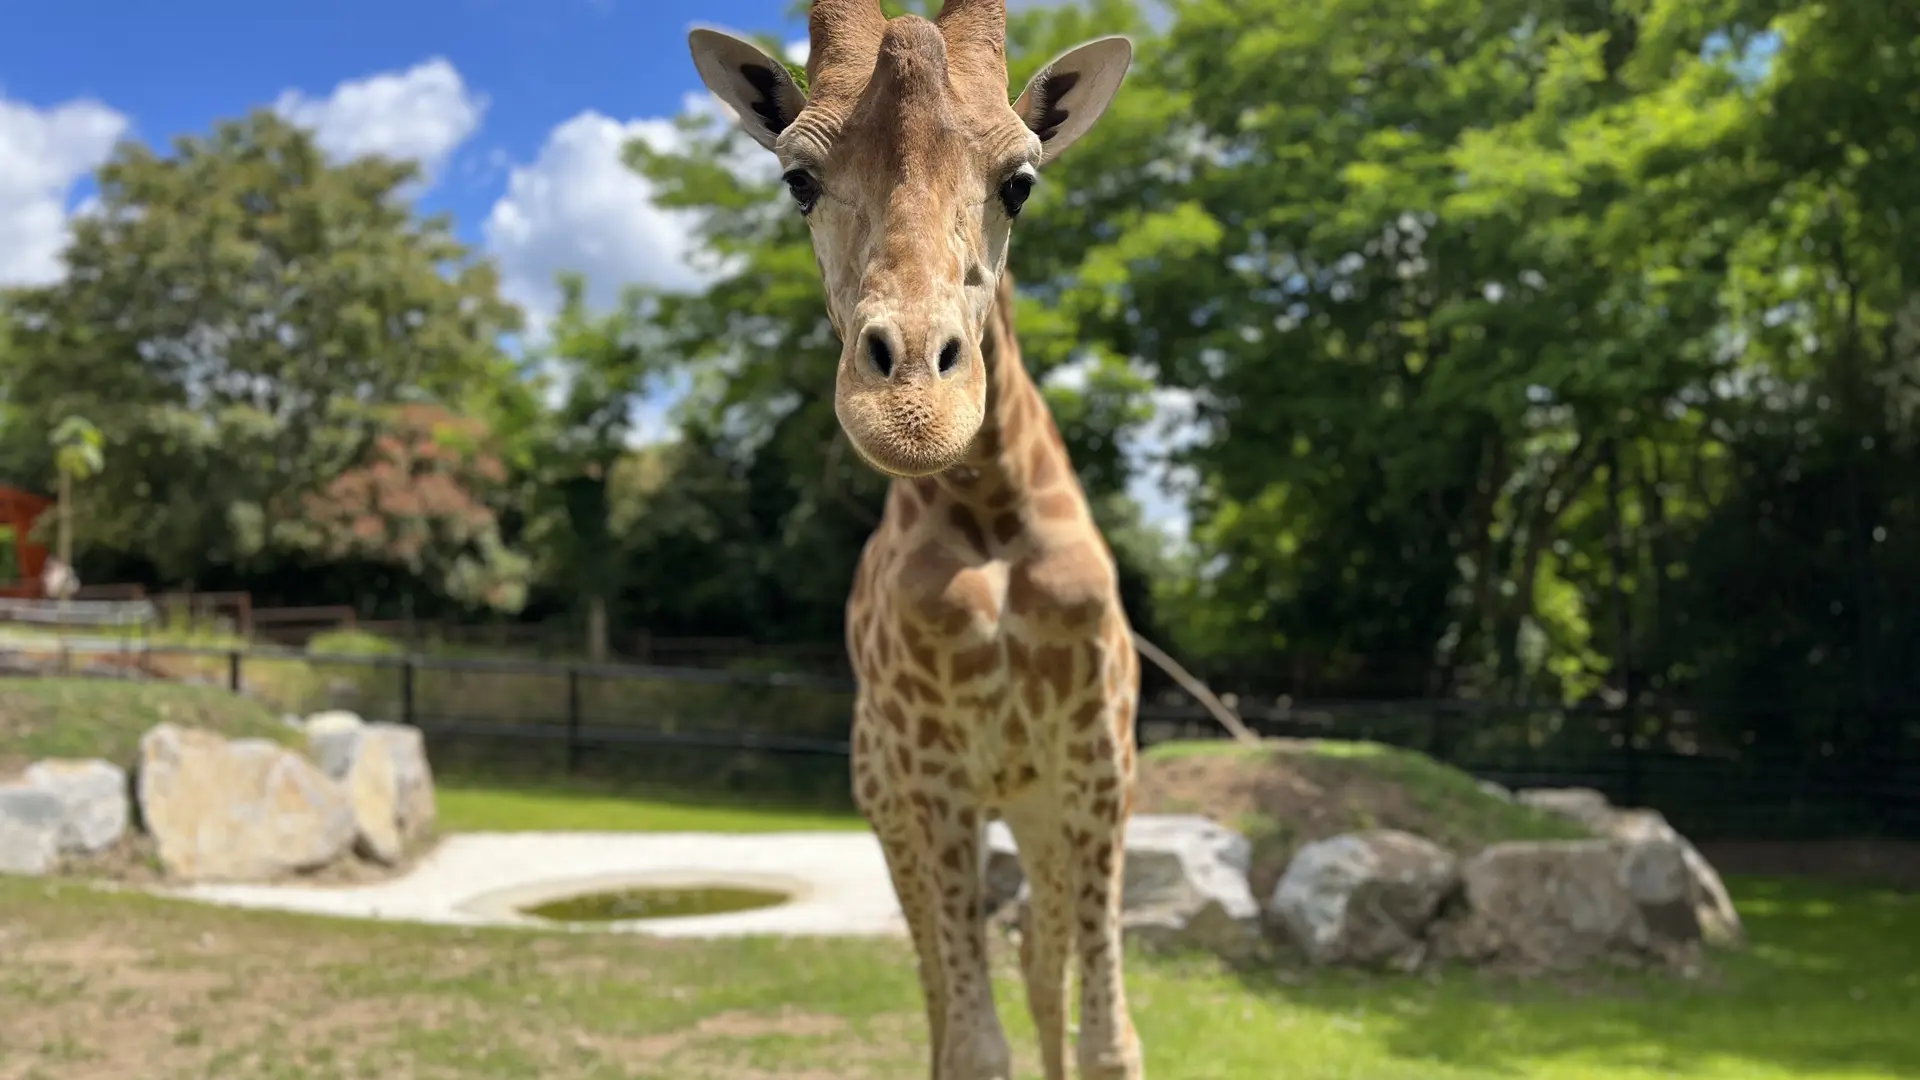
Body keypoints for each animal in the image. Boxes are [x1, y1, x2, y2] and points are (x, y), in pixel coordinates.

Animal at [690, 4, 1162, 1077]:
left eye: (1021, 181)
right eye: (798, 179)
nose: (912, 405)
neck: (993, 511)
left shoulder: (1097, 761)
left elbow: (1109, 1036)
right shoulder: (935, 773)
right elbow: (975, 1041)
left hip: (1031, 805)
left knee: (1035, 959)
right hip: (888, 803)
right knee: (939, 987)